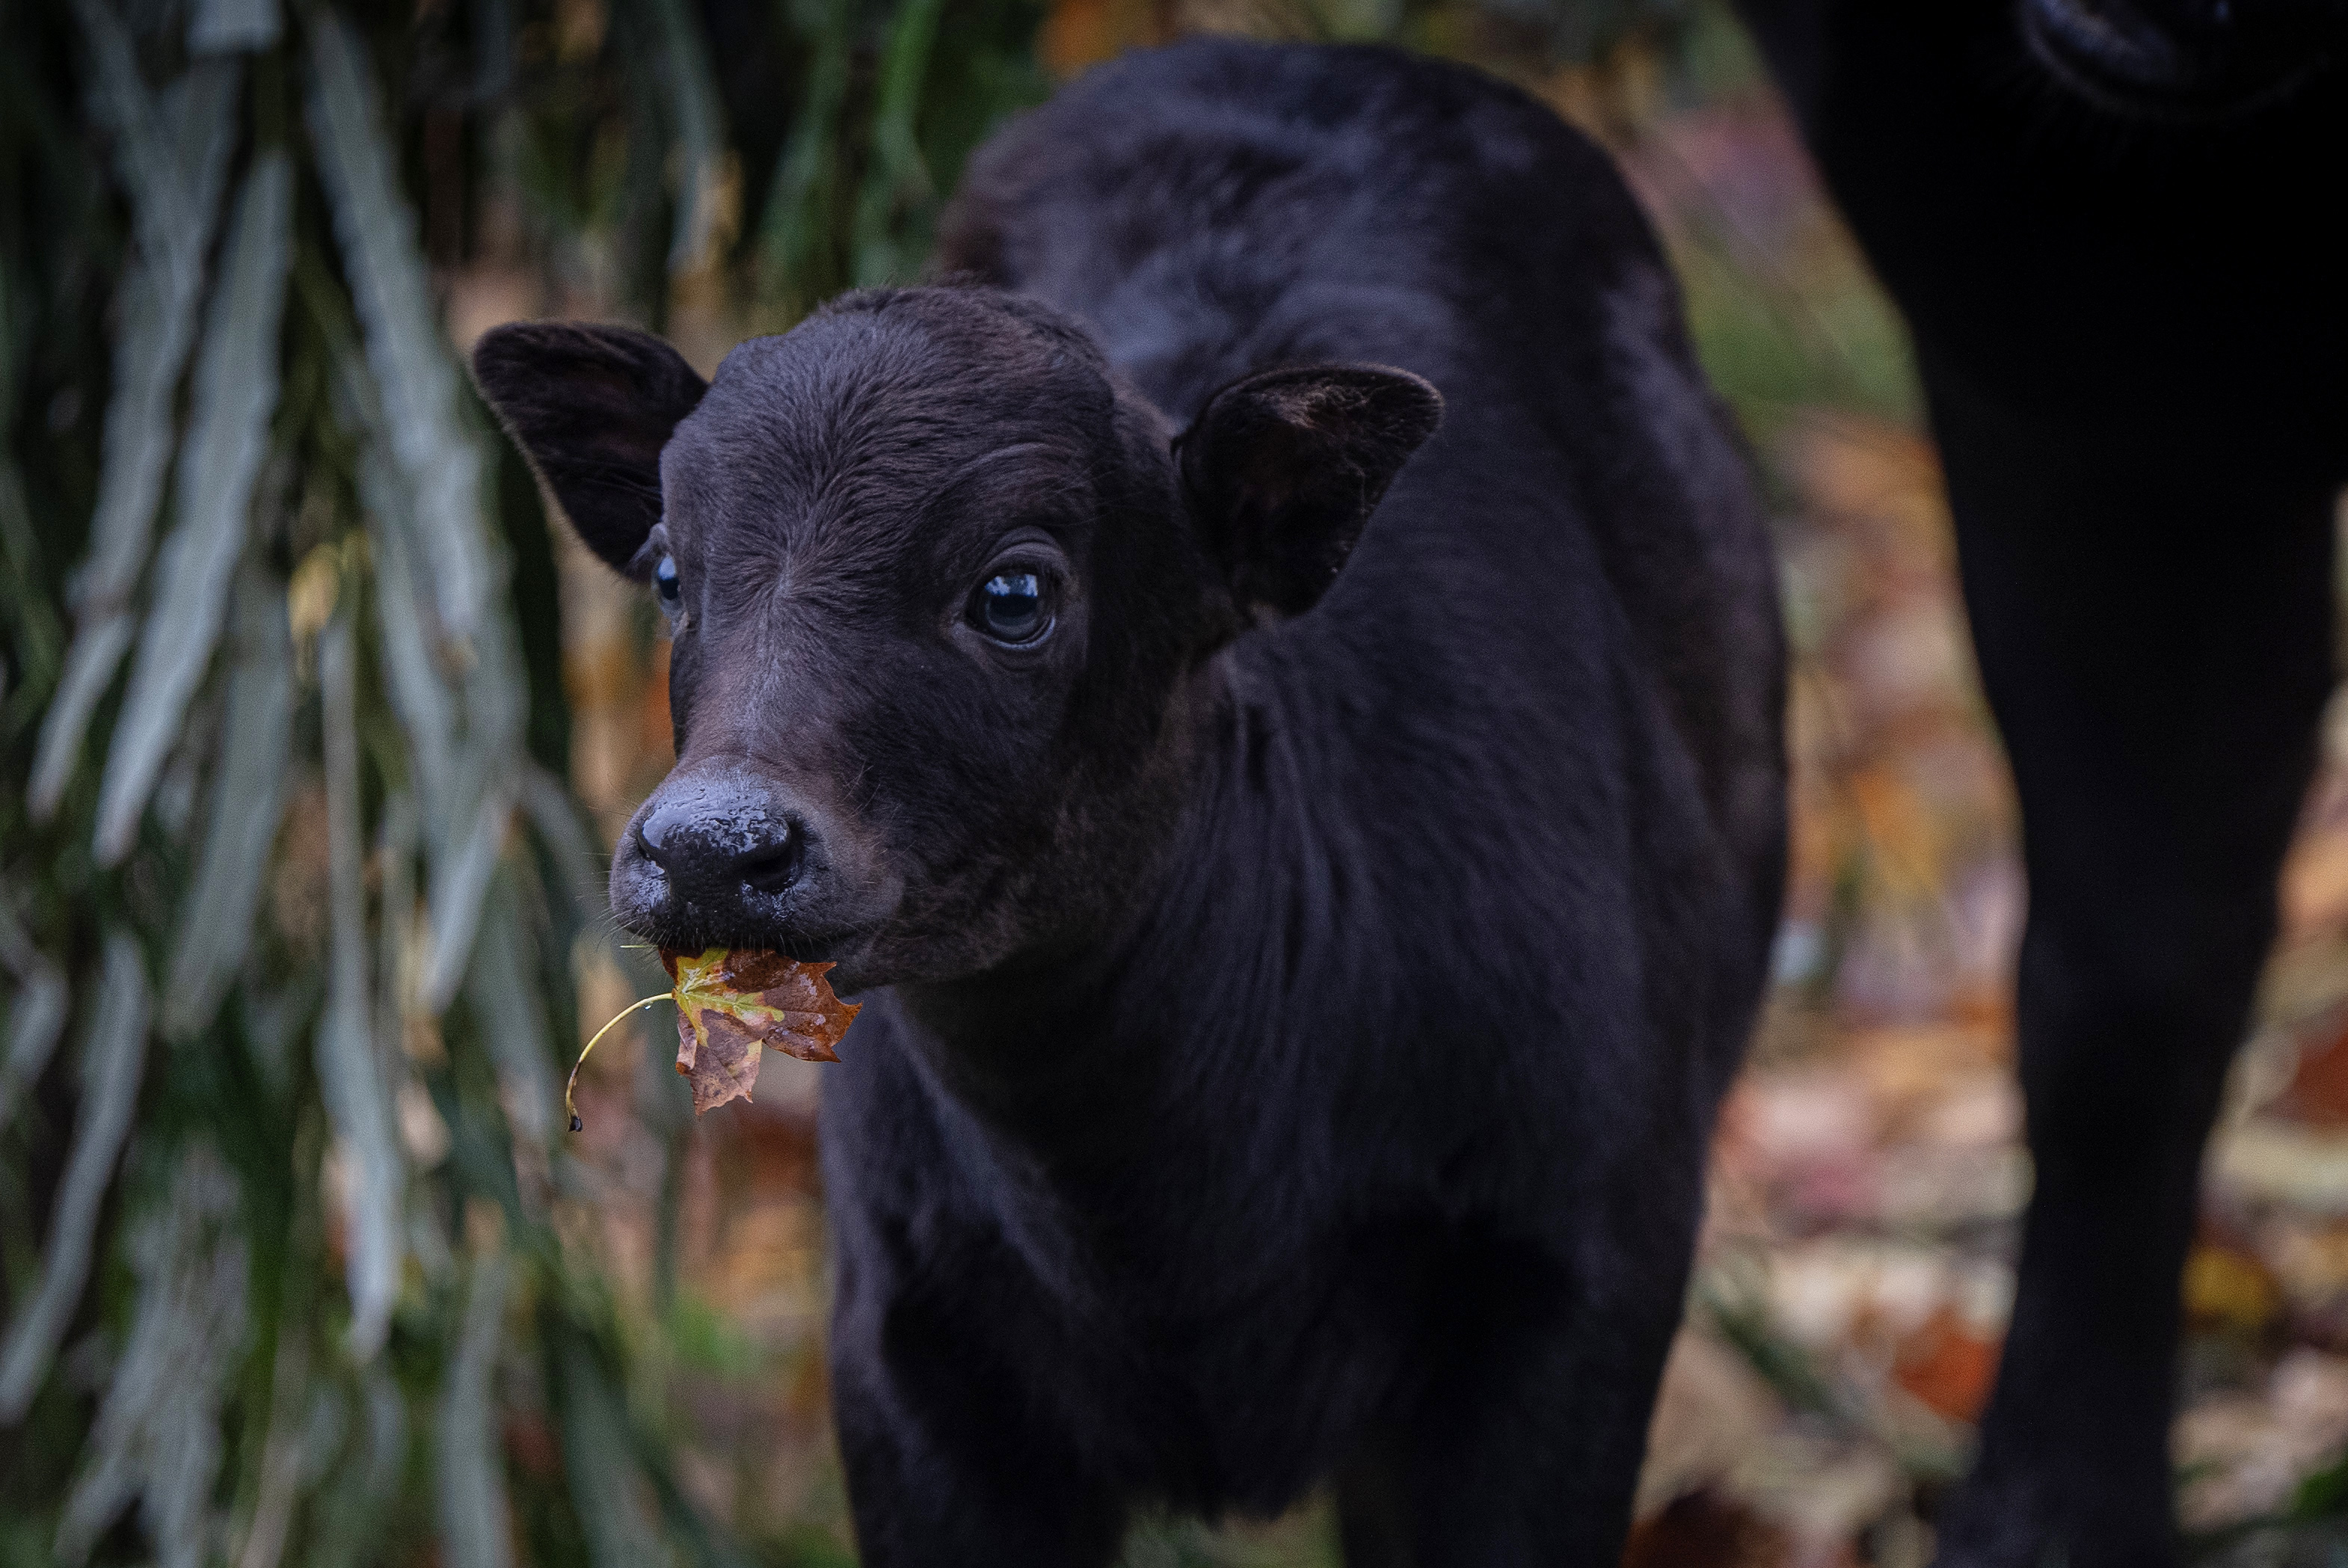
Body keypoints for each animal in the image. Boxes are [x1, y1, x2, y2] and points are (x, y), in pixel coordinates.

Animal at [485, 40, 1784, 1568]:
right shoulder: (910, 1361)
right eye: (674, 571)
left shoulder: (1574, 1301)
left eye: (1015, 590)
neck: (1169, 1221)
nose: (709, 848)